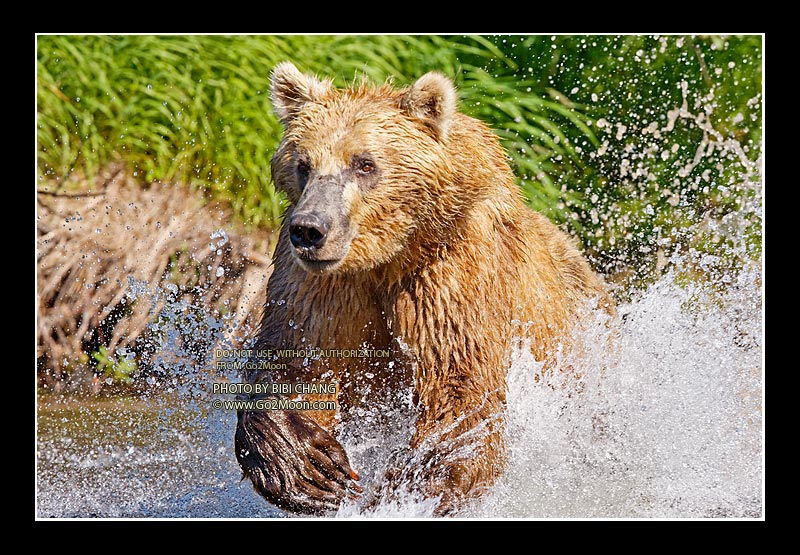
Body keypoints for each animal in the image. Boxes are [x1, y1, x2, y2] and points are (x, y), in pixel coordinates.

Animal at [234, 61, 614, 516]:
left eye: (364, 164)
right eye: (303, 163)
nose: (309, 229)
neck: (388, 256)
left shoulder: (453, 271)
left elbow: (458, 387)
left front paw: (410, 488)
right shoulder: (321, 284)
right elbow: (296, 359)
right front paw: (309, 466)